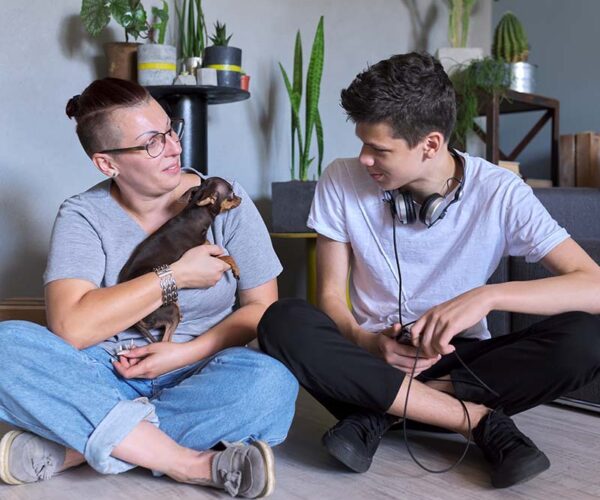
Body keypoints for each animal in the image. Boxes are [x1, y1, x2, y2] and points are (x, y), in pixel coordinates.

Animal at [119, 177, 241, 344]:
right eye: (231, 194)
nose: (241, 198)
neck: (196, 212)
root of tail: (137, 322)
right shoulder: (205, 253)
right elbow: (227, 257)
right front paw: (236, 269)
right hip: (171, 311)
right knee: (166, 341)